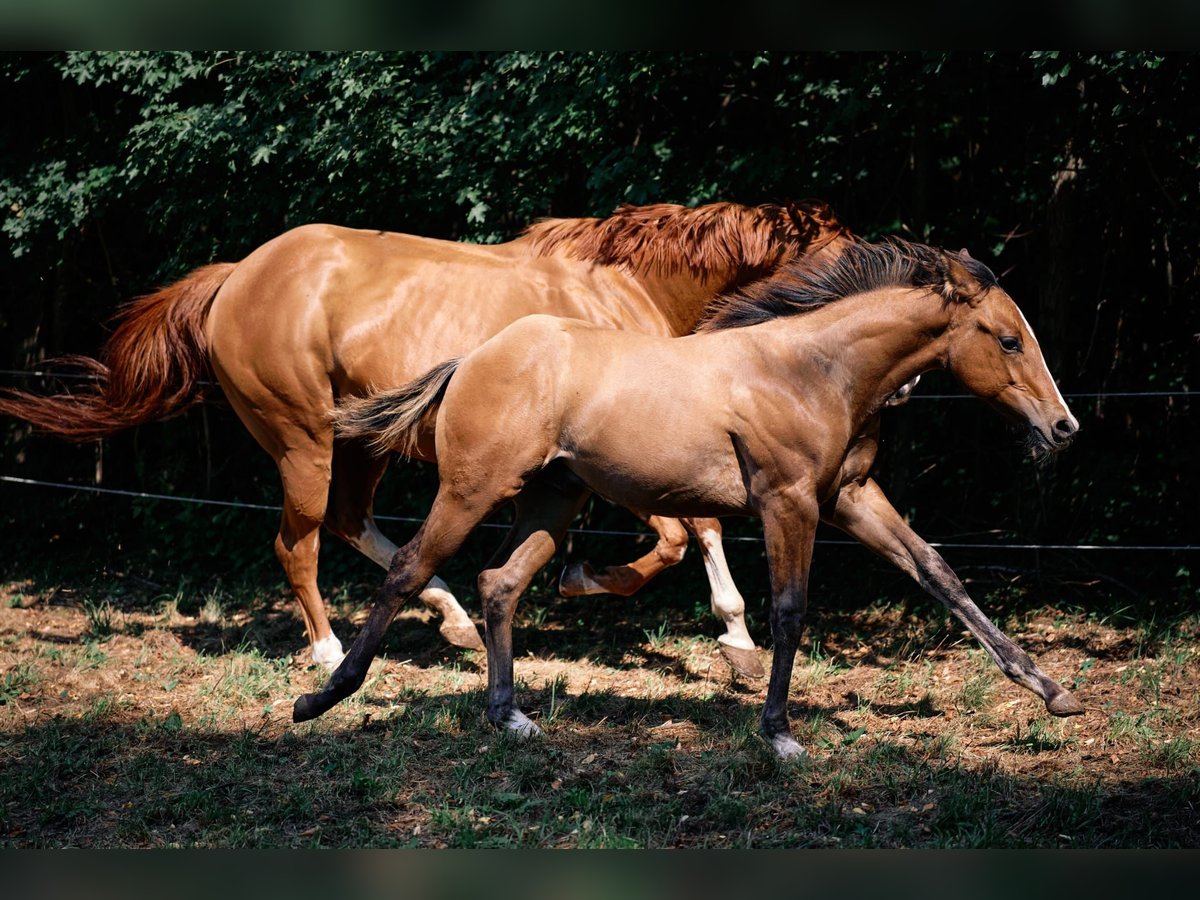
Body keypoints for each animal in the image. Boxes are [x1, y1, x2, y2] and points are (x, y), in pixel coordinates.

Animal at [0, 200, 854, 672]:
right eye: (846, 255)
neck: (621, 289)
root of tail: (236, 276)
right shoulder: (611, 461)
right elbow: (677, 539)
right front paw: (586, 581)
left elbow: (700, 529)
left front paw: (737, 640)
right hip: (302, 441)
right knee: (297, 542)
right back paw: (331, 651)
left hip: (360, 443)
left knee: (352, 524)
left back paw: (455, 623)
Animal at [304, 240, 1084, 763]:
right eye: (1008, 339)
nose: (1063, 426)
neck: (811, 370)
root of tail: (473, 357)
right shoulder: (789, 504)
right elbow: (790, 610)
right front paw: (779, 733)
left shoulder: (851, 500)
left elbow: (938, 573)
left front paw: (1052, 690)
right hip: (473, 488)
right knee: (407, 567)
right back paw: (323, 696)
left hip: (553, 502)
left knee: (499, 581)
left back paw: (510, 716)